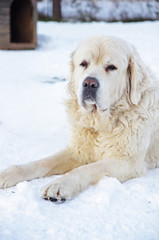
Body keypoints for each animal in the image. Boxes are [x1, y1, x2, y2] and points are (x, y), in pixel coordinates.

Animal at [0, 35, 159, 201]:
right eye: (84, 64)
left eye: (111, 67)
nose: (89, 83)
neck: (100, 123)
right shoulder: (77, 151)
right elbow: (43, 162)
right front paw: (11, 172)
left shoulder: (127, 162)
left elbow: (87, 168)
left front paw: (59, 184)